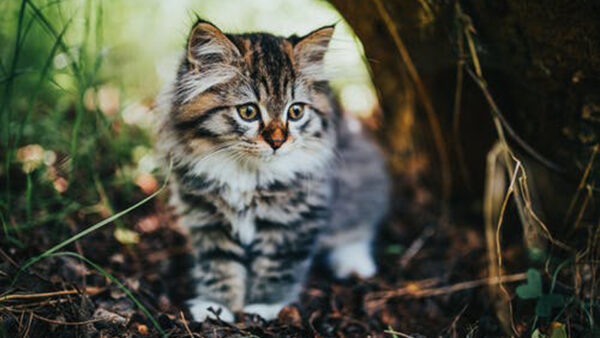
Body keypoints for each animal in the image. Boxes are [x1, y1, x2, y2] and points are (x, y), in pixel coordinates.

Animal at [155, 19, 390, 322]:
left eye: (296, 111)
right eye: (248, 112)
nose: (277, 142)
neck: (248, 176)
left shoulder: (293, 222)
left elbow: (276, 268)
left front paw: (264, 306)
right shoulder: (207, 220)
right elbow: (219, 266)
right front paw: (217, 307)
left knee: (357, 226)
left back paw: (353, 262)